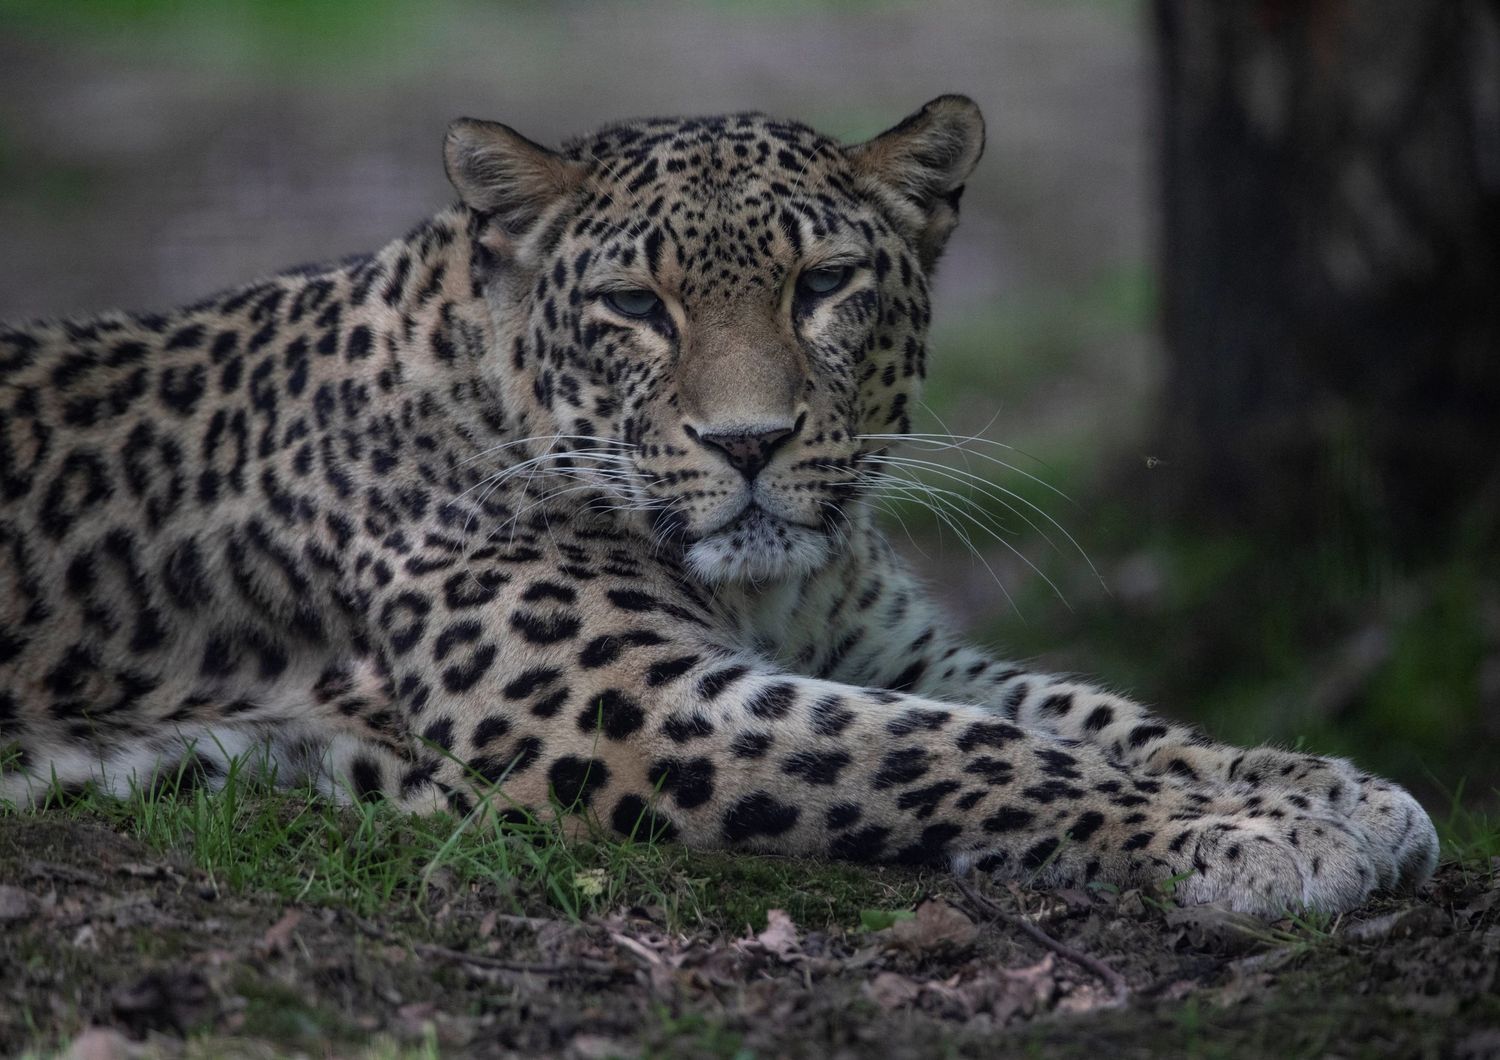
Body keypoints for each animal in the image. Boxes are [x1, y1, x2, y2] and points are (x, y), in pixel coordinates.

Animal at [0, 95, 1440, 917]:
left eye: (825, 285)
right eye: (638, 306)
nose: (748, 443)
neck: (773, 587)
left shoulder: (887, 648)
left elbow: (1091, 715)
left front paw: (1330, 788)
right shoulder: (626, 701)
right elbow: (961, 752)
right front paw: (1256, 837)